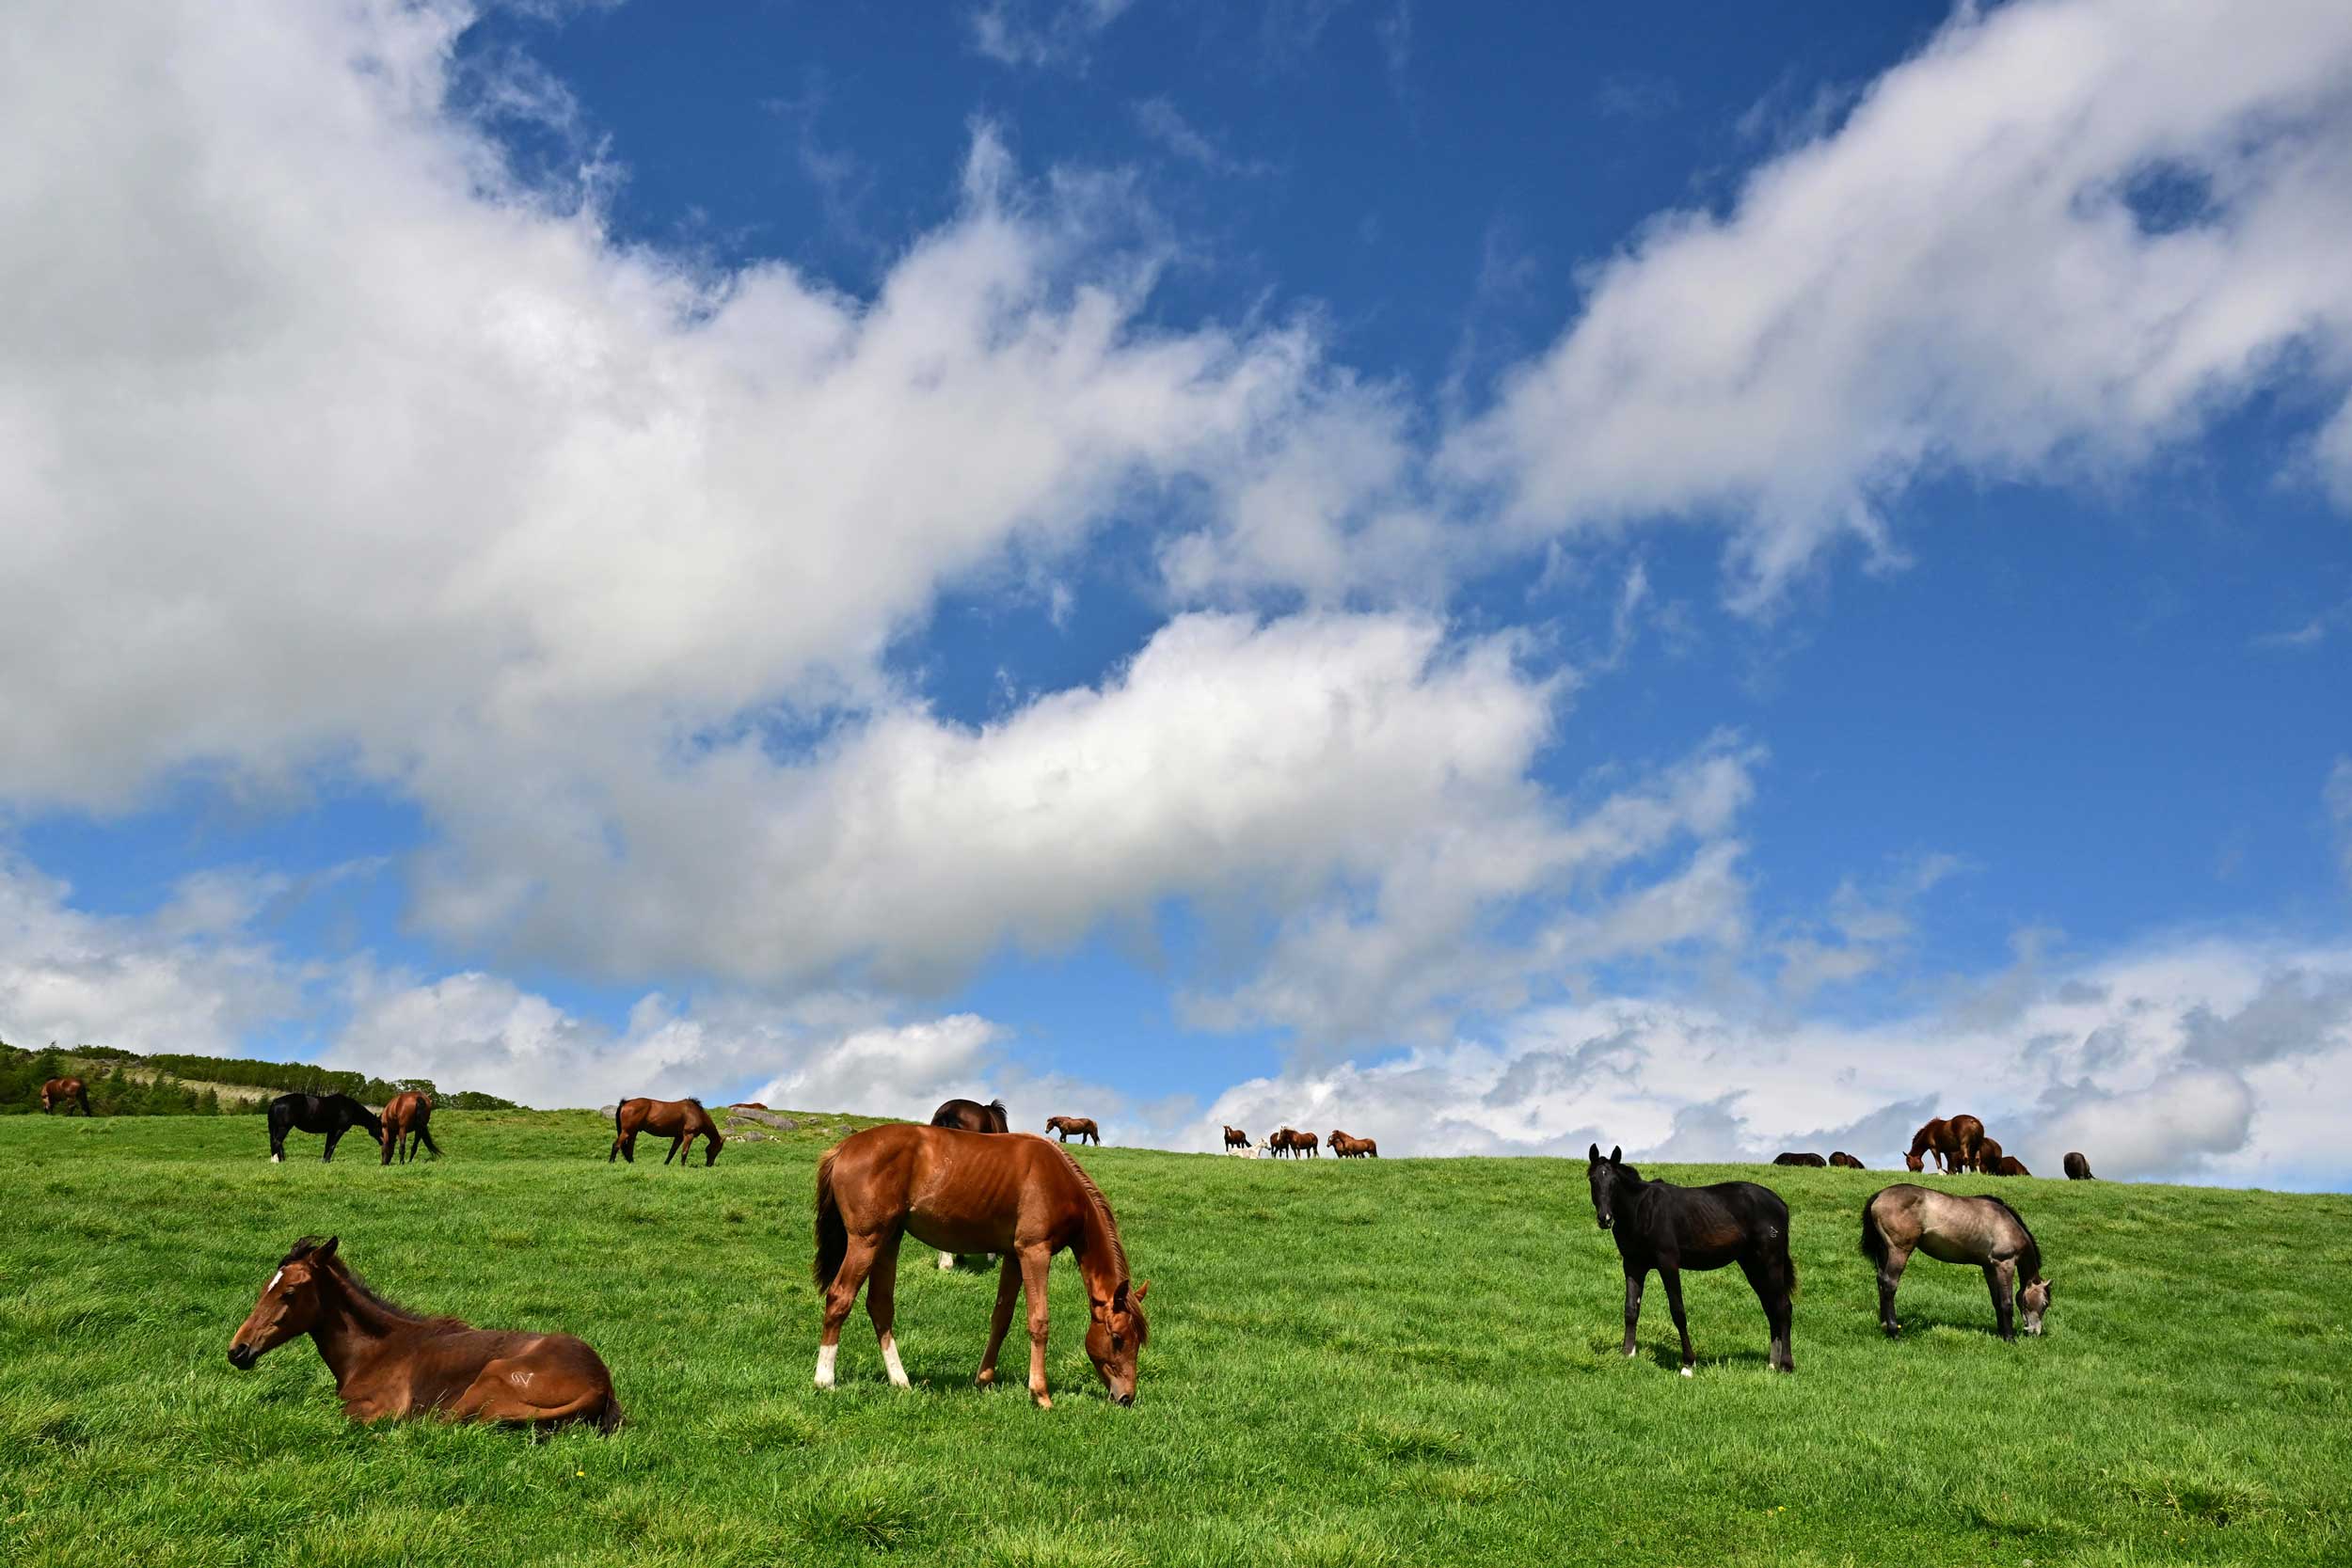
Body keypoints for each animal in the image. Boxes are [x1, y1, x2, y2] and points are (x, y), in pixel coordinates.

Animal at [229, 1241, 626, 1438]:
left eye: (289, 1292)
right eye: (265, 1286)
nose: (238, 1350)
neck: (373, 1352)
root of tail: (600, 1384)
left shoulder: (378, 1408)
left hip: (489, 1380)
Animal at [809, 1128, 1148, 1410]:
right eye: (1117, 1338)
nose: (1126, 1397)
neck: (1057, 1179)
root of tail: (843, 1148)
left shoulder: (1013, 1257)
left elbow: (1002, 1318)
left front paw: (984, 1379)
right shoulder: (1034, 1252)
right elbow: (1039, 1321)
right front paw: (1040, 1394)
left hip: (888, 1240)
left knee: (879, 1306)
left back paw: (900, 1381)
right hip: (866, 1241)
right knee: (840, 1298)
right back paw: (825, 1380)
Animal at [1581, 1147, 1797, 1382]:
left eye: (1614, 1181)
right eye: (1593, 1179)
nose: (1605, 1219)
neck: (1643, 1210)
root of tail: (1781, 1205)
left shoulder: (1668, 1264)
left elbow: (1678, 1311)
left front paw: (1688, 1364)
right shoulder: (1633, 1265)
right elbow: (1631, 1309)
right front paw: (1627, 1353)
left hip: (1770, 1262)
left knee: (1783, 1307)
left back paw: (1786, 1365)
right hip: (1752, 1265)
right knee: (1771, 1307)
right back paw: (1772, 1364)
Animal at [1863, 1184, 2051, 1344]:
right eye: (2045, 1303)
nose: (2035, 1332)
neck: (2006, 1223)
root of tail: (1880, 1195)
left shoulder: (1989, 1268)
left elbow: (1996, 1301)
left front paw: (2001, 1333)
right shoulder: (2005, 1264)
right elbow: (2007, 1303)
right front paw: (2010, 1339)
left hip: (1885, 1251)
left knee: (1880, 1280)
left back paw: (1884, 1324)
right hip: (1899, 1251)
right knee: (1889, 1284)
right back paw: (1894, 1332)